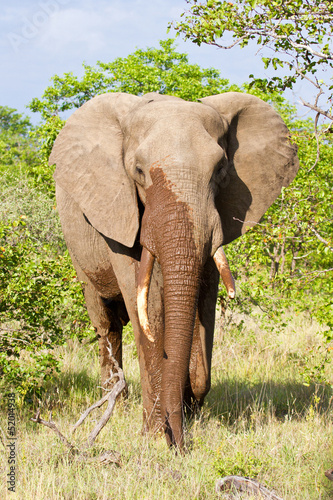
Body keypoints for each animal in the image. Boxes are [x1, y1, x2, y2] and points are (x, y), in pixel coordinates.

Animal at [48, 90, 298, 450]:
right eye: (138, 170)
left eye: (220, 169)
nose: (179, 444)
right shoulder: (120, 210)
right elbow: (148, 310)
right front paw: (155, 436)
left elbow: (204, 303)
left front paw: (189, 409)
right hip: (77, 247)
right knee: (107, 323)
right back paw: (115, 401)